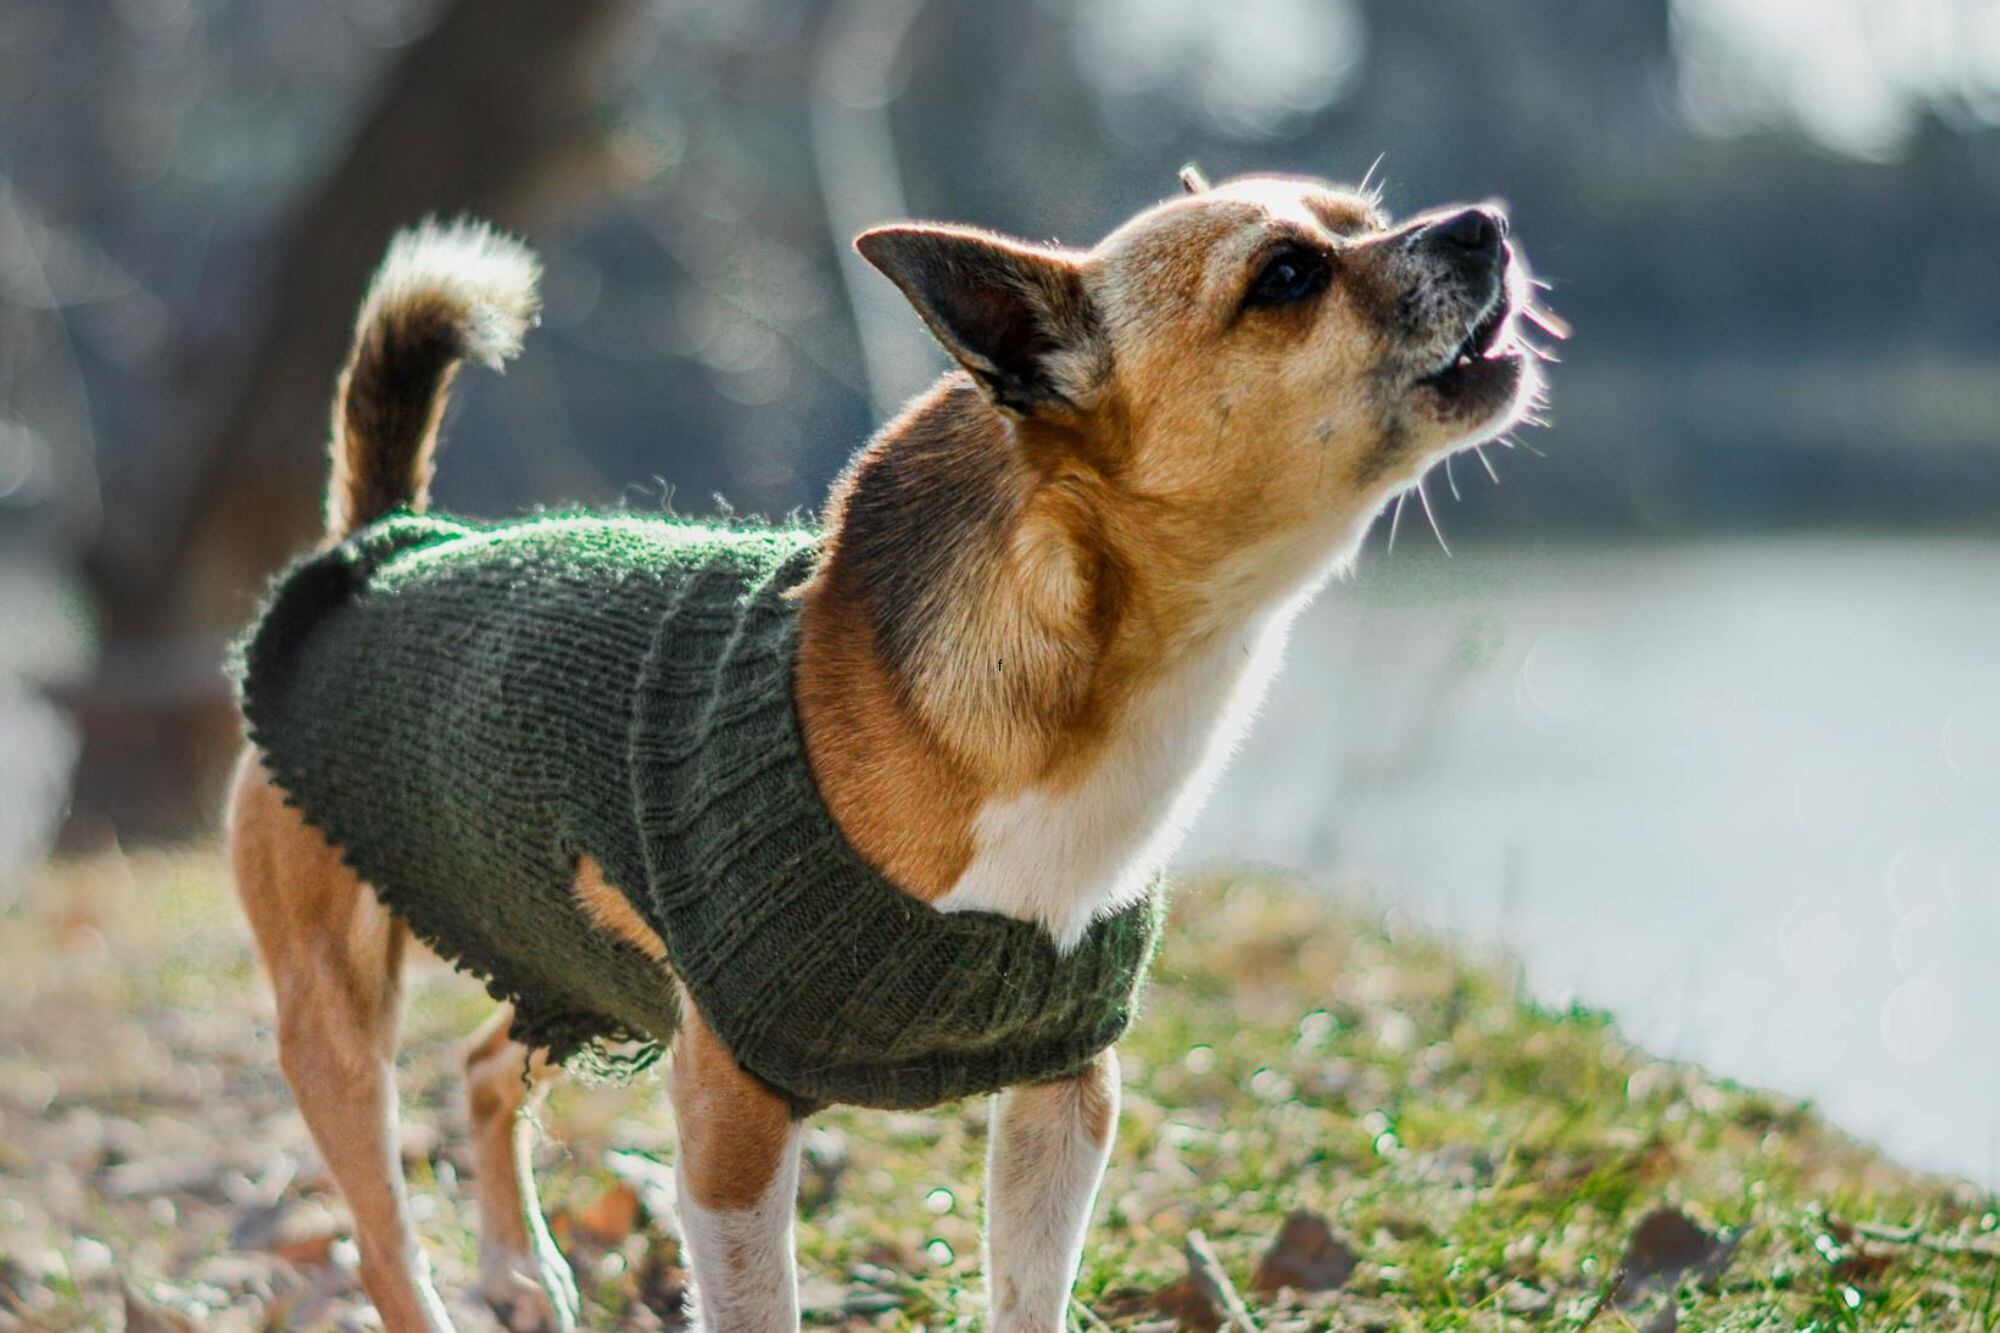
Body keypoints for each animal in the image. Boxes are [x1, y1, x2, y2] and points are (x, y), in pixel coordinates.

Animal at [230, 169, 1544, 1328]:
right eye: (1285, 278)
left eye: (1367, 219)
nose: (1480, 225)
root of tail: (386, 539)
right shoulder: (728, 1121)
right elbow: (757, 1307)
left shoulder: (1062, 1098)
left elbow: (1027, 1297)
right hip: (340, 1019)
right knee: (385, 1233)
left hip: (571, 962)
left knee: (482, 1068)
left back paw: (518, 1268)